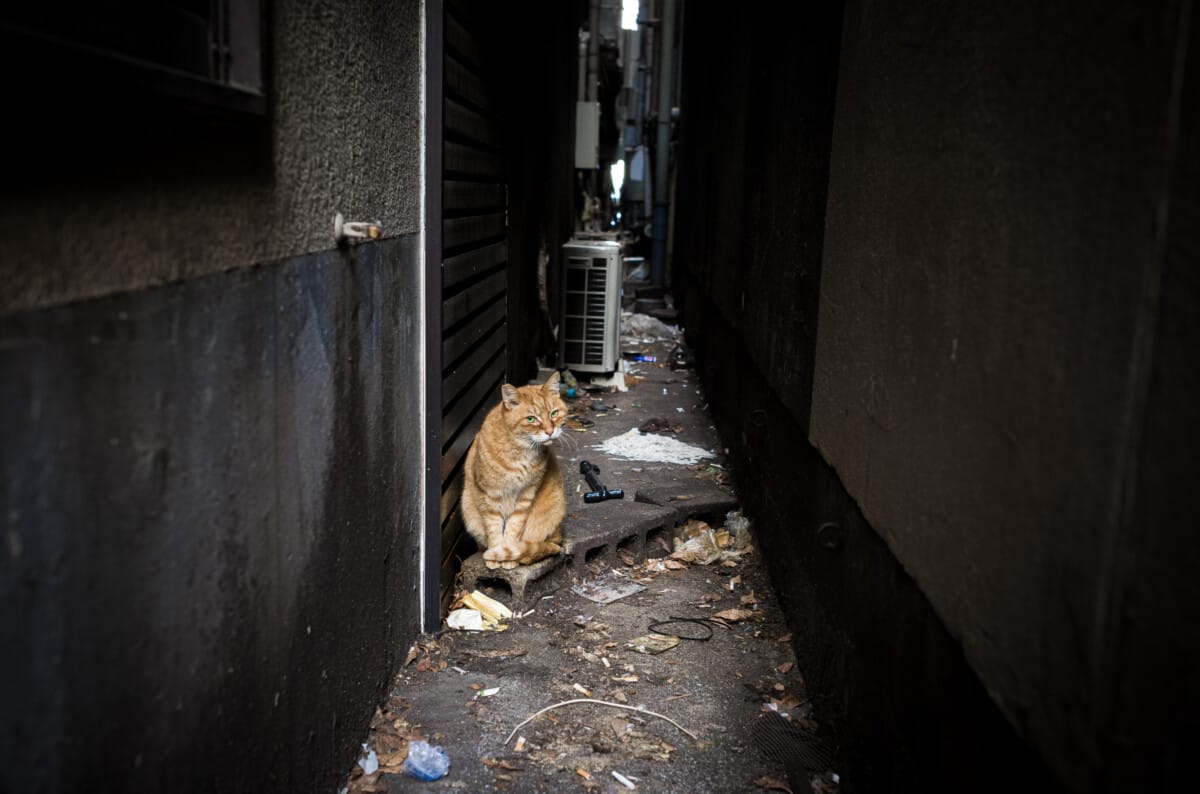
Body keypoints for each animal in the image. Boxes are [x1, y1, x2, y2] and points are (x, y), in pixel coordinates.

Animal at [463, 369, 566, 568]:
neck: (521, 452)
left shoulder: (525, 495)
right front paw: (495, 555)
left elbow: (513, 528)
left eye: (554, 413)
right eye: (531, 419)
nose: (550, 432)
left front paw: (507, 555)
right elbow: (494, 529)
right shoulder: (490, 496)